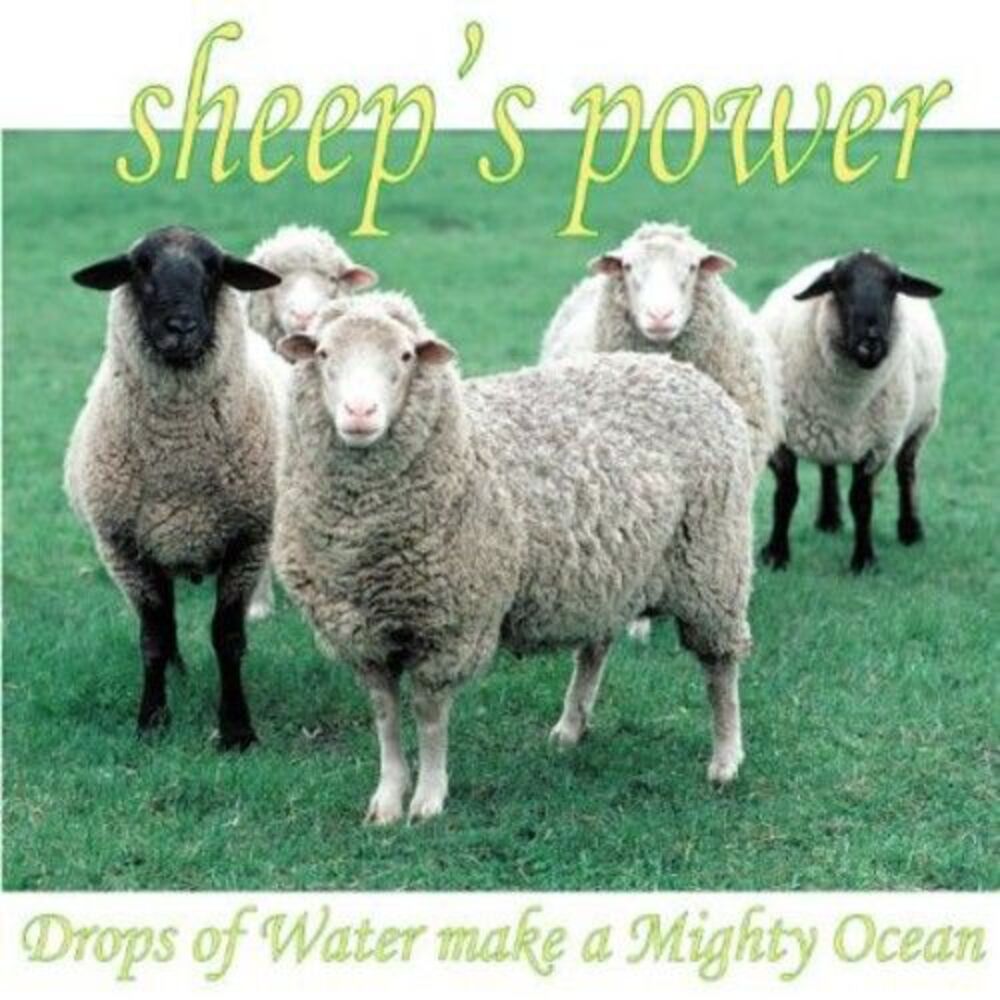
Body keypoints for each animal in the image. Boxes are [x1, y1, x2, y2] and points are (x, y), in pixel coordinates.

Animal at [64, 226, 284, 748]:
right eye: (139, 266)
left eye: (214, 268)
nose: (182, 326)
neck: (178, 458)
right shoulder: (125, 549)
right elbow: (153, 637)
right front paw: (151, 721)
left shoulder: (248, 541)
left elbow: (228, 638)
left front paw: (237, 730)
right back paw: (178, 675)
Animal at [272, 292, 755, 824]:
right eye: (323, 354)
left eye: (405, 356)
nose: (360, 412)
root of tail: (677, 368)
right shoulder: (361, 634)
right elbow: (386, 717)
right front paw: (387, 798)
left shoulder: (451, 625)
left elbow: (429, 716)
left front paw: (428, 799)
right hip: (609, 571)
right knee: (596, 647)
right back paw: (571, 726)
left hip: (712, 563)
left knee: (720, 668)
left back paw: (726, 759)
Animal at [757, 250, 945, 573]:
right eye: (839, 284)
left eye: (893, 286)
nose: (871, 342)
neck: (846, 399)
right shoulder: (781, 438)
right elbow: (786, 494)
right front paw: (776, 554)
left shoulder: (877, 445)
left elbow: (862, 501)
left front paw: (864, 560)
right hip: (827, 430)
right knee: (828, 467)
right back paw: (829, 519)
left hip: (921, 423)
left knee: (906, 470)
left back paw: (910, 530)